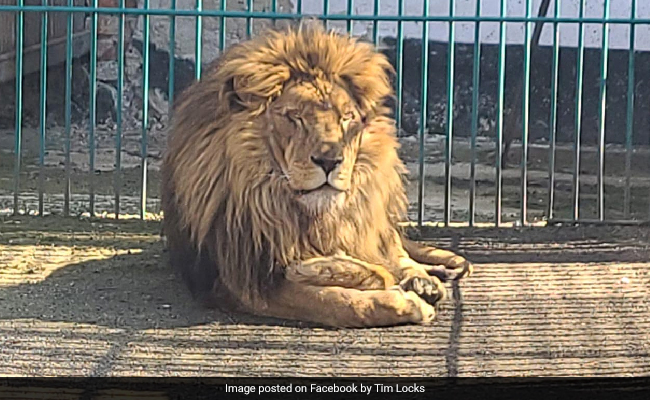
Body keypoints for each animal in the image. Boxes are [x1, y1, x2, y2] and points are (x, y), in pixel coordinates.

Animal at [160, 20, 473, 328]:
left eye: (346, 117)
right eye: (294, 117)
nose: (329, 160)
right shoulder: (241, 279)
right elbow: (334, 302)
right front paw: (398, 299)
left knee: (395, 248)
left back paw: (422, 279)